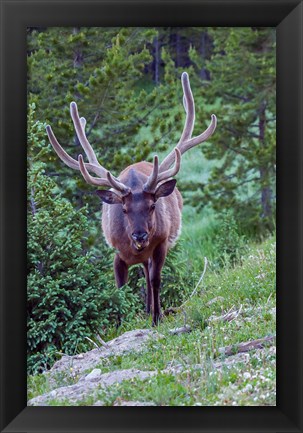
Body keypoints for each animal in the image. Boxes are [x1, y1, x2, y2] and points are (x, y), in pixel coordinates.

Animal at [45, 72, 217, 324]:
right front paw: (120, 321)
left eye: (153, 205)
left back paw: (150, 310)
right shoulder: (117, 254)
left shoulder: (161, 244)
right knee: (143, 271)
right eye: (124, 210)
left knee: (147, 274)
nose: (139, 235)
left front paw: (157, 318)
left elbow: (155, 280)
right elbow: (120, 289)